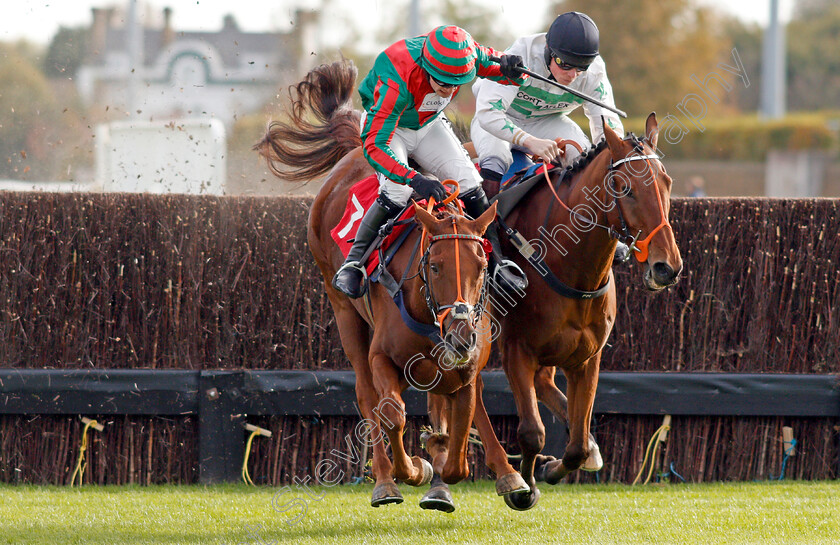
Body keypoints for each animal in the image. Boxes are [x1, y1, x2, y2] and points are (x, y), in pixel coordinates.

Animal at [256, 60, 528, 510]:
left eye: (481, 261)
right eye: (433, 266)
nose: (460, 334)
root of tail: (353, 151)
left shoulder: (468, 364)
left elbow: (464, 424)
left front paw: (455, 464)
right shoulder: (383, 355)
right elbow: (392, 412)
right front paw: (414, 469)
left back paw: (504, 474)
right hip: (344, 312)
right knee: (368, 397)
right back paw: (385, 481)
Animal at [492, 115, 684, 510]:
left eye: (667, 182)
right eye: (624, 187)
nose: (666, 267)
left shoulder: (586, 358)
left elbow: (577, 445)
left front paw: (551, 468)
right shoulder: (516, 350)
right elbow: (532, 432)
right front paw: (525, 487)